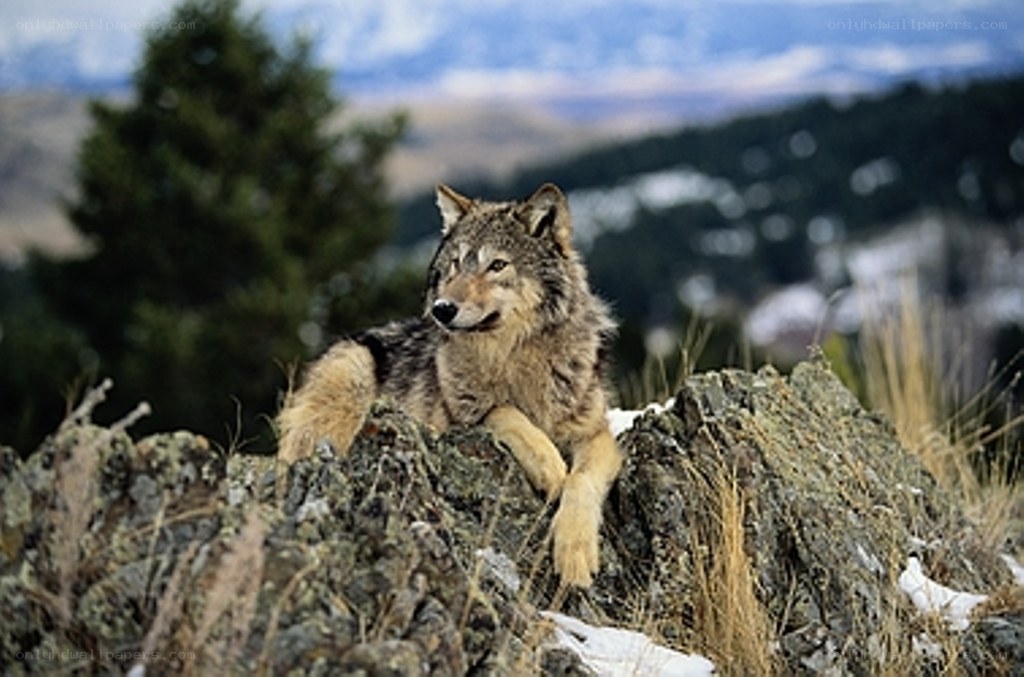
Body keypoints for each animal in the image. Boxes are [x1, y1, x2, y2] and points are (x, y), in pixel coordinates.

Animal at [277, 183, 622, 588]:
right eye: (457, 263)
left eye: (497, 265)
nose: (442, 308)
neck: (513, 358)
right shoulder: (456, 419)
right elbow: (503, 412)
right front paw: (550, 467)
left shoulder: (597, 435)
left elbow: (581, 481)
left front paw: (575, 552)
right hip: (353, 374)